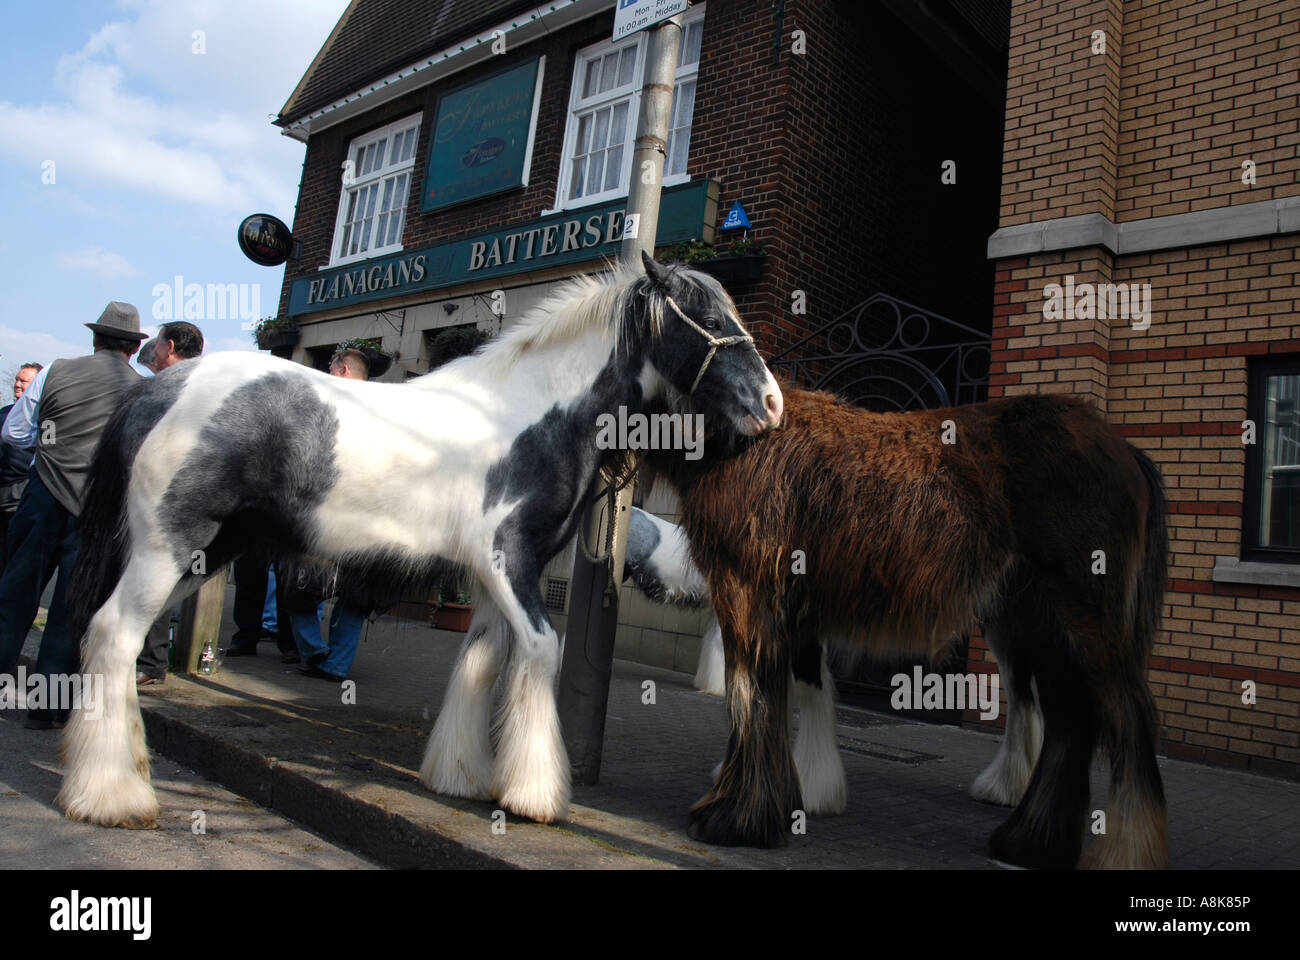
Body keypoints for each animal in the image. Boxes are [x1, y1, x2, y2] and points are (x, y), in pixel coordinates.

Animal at [56, 252, 784, 830]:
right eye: (708, 317)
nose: (773, 405)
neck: (530, 416)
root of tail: (161, 390)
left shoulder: (491, 578)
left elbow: (481, 661)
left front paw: (460, 776)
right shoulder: (509, 561)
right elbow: (540, 653)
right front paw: (534, 796)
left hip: (205, 554)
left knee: (116, 641)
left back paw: (129, 767)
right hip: (167, 548)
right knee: (112, 634)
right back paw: (112, 797)